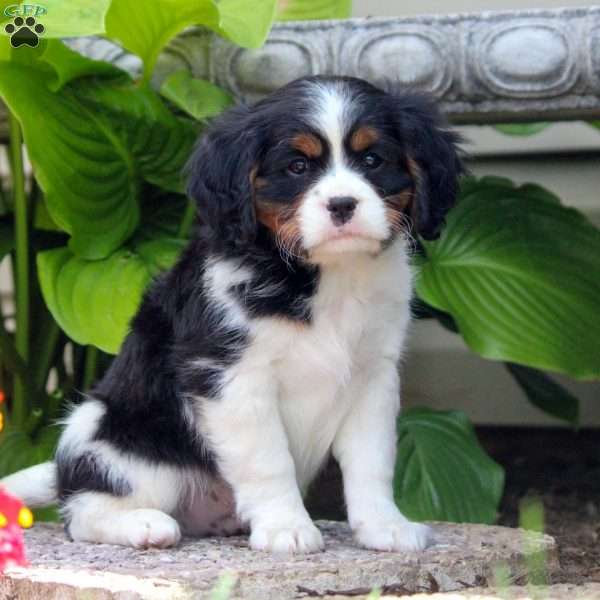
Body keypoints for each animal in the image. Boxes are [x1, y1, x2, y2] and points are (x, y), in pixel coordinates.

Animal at [4, 77, 462, 556]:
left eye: (373, 160)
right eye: (297, 166)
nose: (342, 204)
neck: (324, 274)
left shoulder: (373, 377)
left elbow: (372, 461)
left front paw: (384, 527)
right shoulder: (232, 378)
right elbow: (269, 461)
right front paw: (286, 527)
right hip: (122, 439)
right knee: (85, 510)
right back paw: (143, 525)